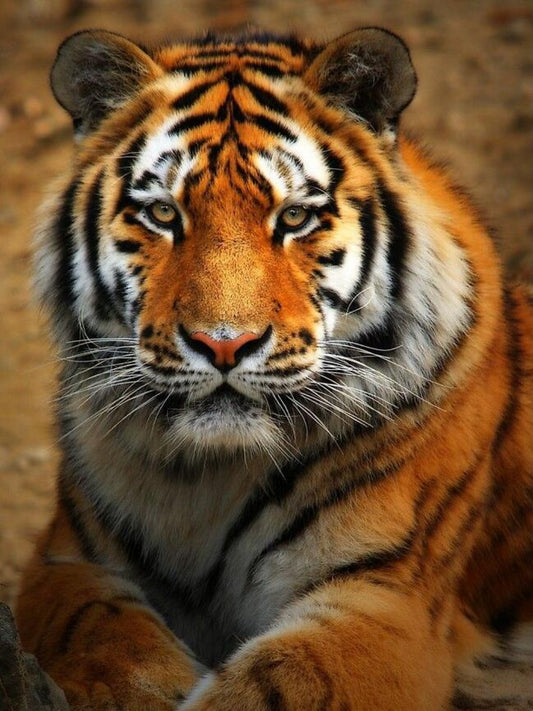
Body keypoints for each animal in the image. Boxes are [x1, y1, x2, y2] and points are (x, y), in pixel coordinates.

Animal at [15, 24, 532, 711]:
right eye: (162, 214)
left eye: (294, 217)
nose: (224, 344)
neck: (208, 479)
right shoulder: (67, 565)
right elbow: (102, 635)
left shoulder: (385, 600)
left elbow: (278, 683)